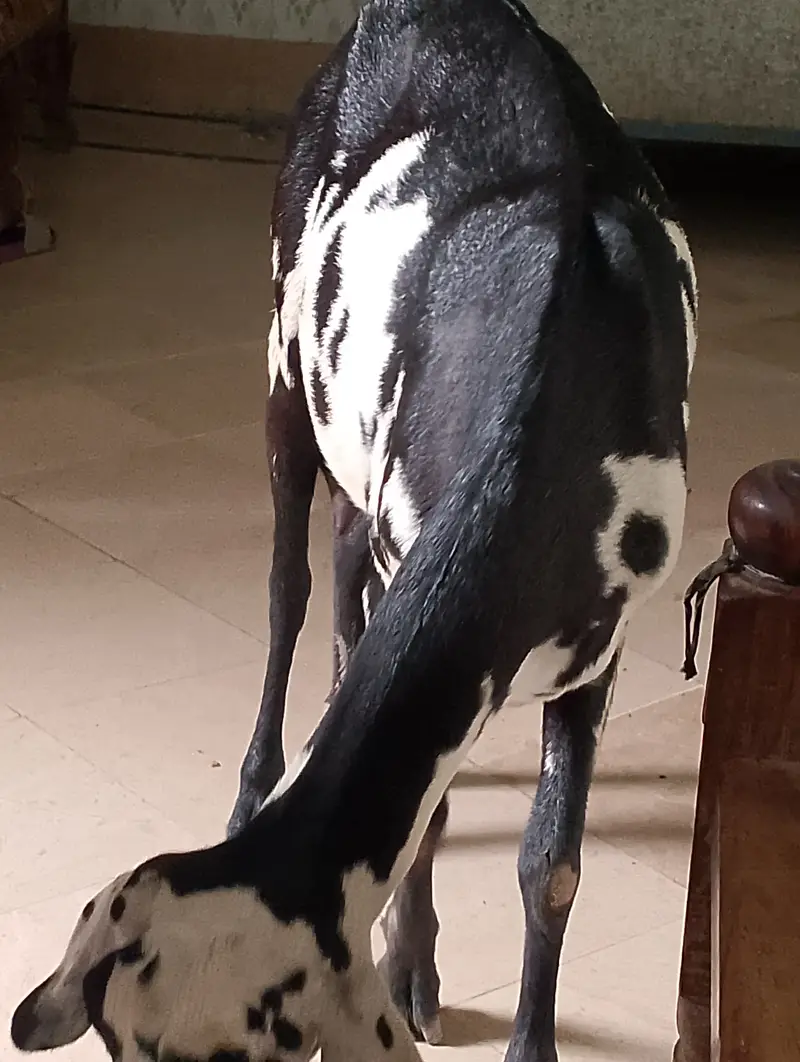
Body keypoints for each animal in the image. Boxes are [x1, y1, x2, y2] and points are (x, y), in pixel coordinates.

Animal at [11, 0, 696, 1059]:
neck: (554, 380)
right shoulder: (397, 553)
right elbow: (428, 817)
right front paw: (411, 962)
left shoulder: (602, 644)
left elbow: (554, 866)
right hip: (286, 374)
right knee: (290, 595)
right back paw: (258, 770)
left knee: (329, 581)